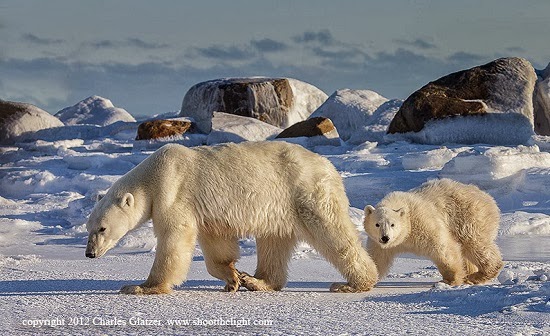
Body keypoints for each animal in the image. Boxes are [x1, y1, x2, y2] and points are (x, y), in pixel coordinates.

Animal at [86, 142, 380, 294]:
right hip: (280, 206)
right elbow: (216, 242)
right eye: (88, 227)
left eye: (102, 228)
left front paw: (140, 287)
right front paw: (233, 277)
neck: (153, 175)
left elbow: (174, 239)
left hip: (305, 192)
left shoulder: (172, 192)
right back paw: (258, 281)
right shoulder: (205, 211)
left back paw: (353, 283)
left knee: (332, 232)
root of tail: (329, 166)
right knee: (273, 242)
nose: (89, 253)